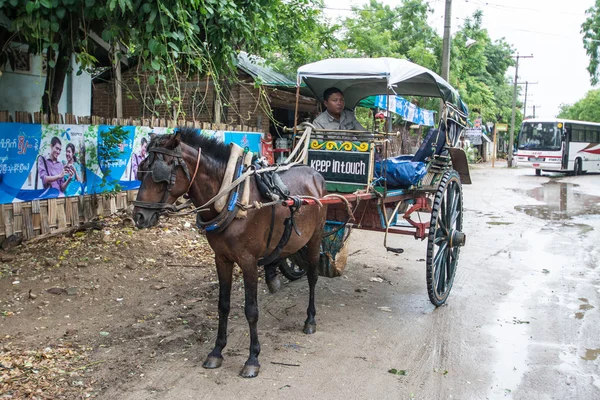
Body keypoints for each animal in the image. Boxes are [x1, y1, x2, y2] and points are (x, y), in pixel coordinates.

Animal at [133, 128, 326, 378]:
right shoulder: (221, 259)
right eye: (141, 169)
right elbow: (223, 305)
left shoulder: (248, 261)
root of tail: (315, 174)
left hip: (315, 238)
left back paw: (310, 319)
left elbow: (251, 310)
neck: (233, 197)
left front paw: (253, 358)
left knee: (313, 277)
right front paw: (216, 351)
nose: (138, 216)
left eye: (160, 174)